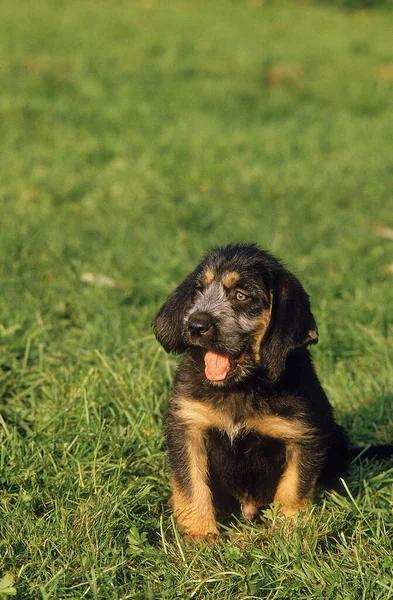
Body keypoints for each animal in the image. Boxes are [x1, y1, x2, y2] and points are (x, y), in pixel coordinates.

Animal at [153, 244, 392, 540]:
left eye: (241, 295)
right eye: (199, 290)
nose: (195, 325)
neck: (242, 386)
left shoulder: (303, 435)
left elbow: (294, 486)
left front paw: (290, 530)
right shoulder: (188, 427)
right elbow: (192, 485)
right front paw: (199, 536)